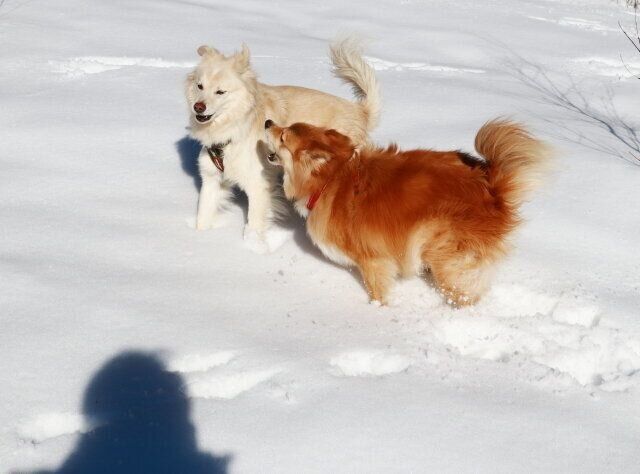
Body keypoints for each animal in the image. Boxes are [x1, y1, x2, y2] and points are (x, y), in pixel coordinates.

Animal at [185, 39, 380, 247]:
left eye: (220, 92)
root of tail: (360, 112)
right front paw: (199, 238)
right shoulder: (212, 179)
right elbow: (203, 214)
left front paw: (251, 247)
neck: (233, 131)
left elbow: (254, 223)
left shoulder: (258, 185)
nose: (198, 107)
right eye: (200, 86)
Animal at [264, 119, 551, 305]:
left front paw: (376, 310)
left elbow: (378, 292)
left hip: (439, 245)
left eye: (283, 136)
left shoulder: (373, 261)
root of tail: (493, 191)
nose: (267, 122)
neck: (331, 180)